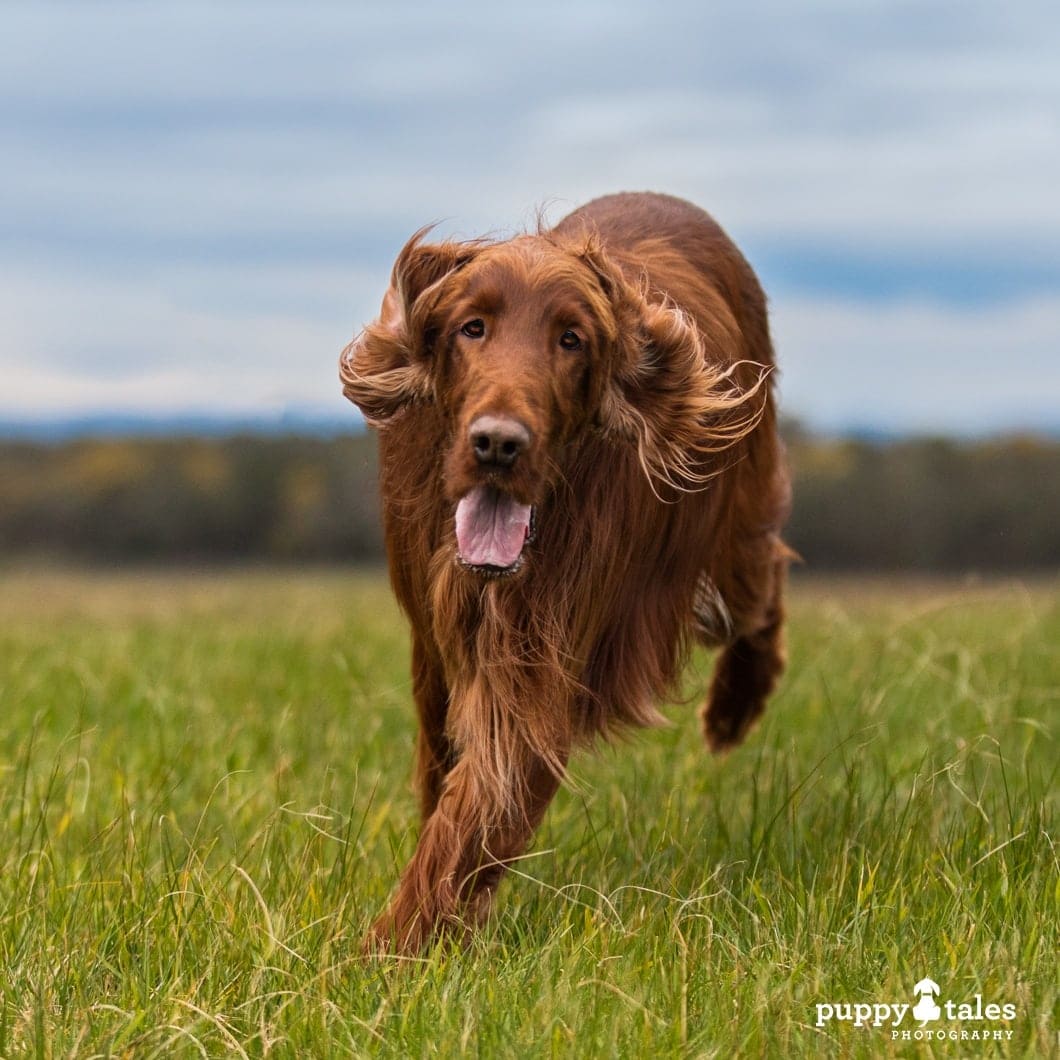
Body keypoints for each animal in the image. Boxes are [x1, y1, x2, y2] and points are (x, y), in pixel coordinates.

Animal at [339, 195, 788, 958]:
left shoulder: (535, 673)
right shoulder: (435, 657)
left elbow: (469, 819)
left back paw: (735, 706)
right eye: (472, 327)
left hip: (736, 534)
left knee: (764, 588)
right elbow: (447, 792)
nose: (498, 444)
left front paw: (385, 958)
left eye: (571, 339)